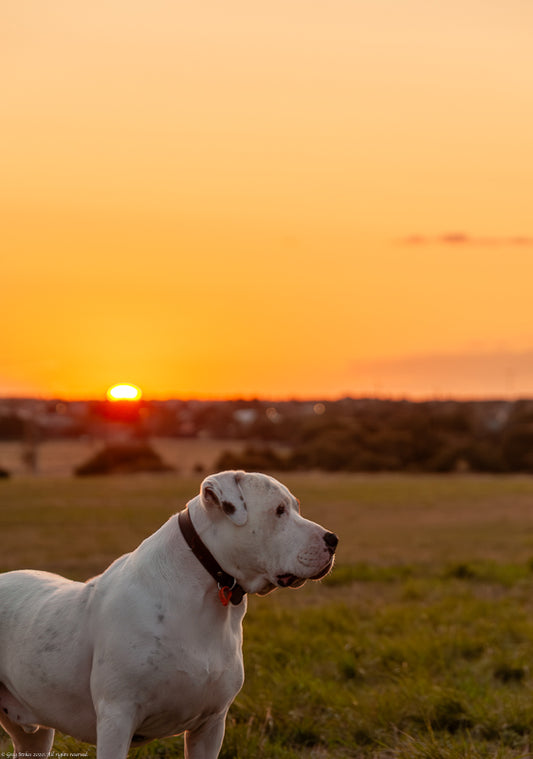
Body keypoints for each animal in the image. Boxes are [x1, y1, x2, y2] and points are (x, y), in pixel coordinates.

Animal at [0, 472, 336, 756]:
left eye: (296, 507)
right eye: (279, 510)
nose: (333, 539)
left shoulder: (211, 726)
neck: (203, 598)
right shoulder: (116, 719)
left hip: (35, 735)